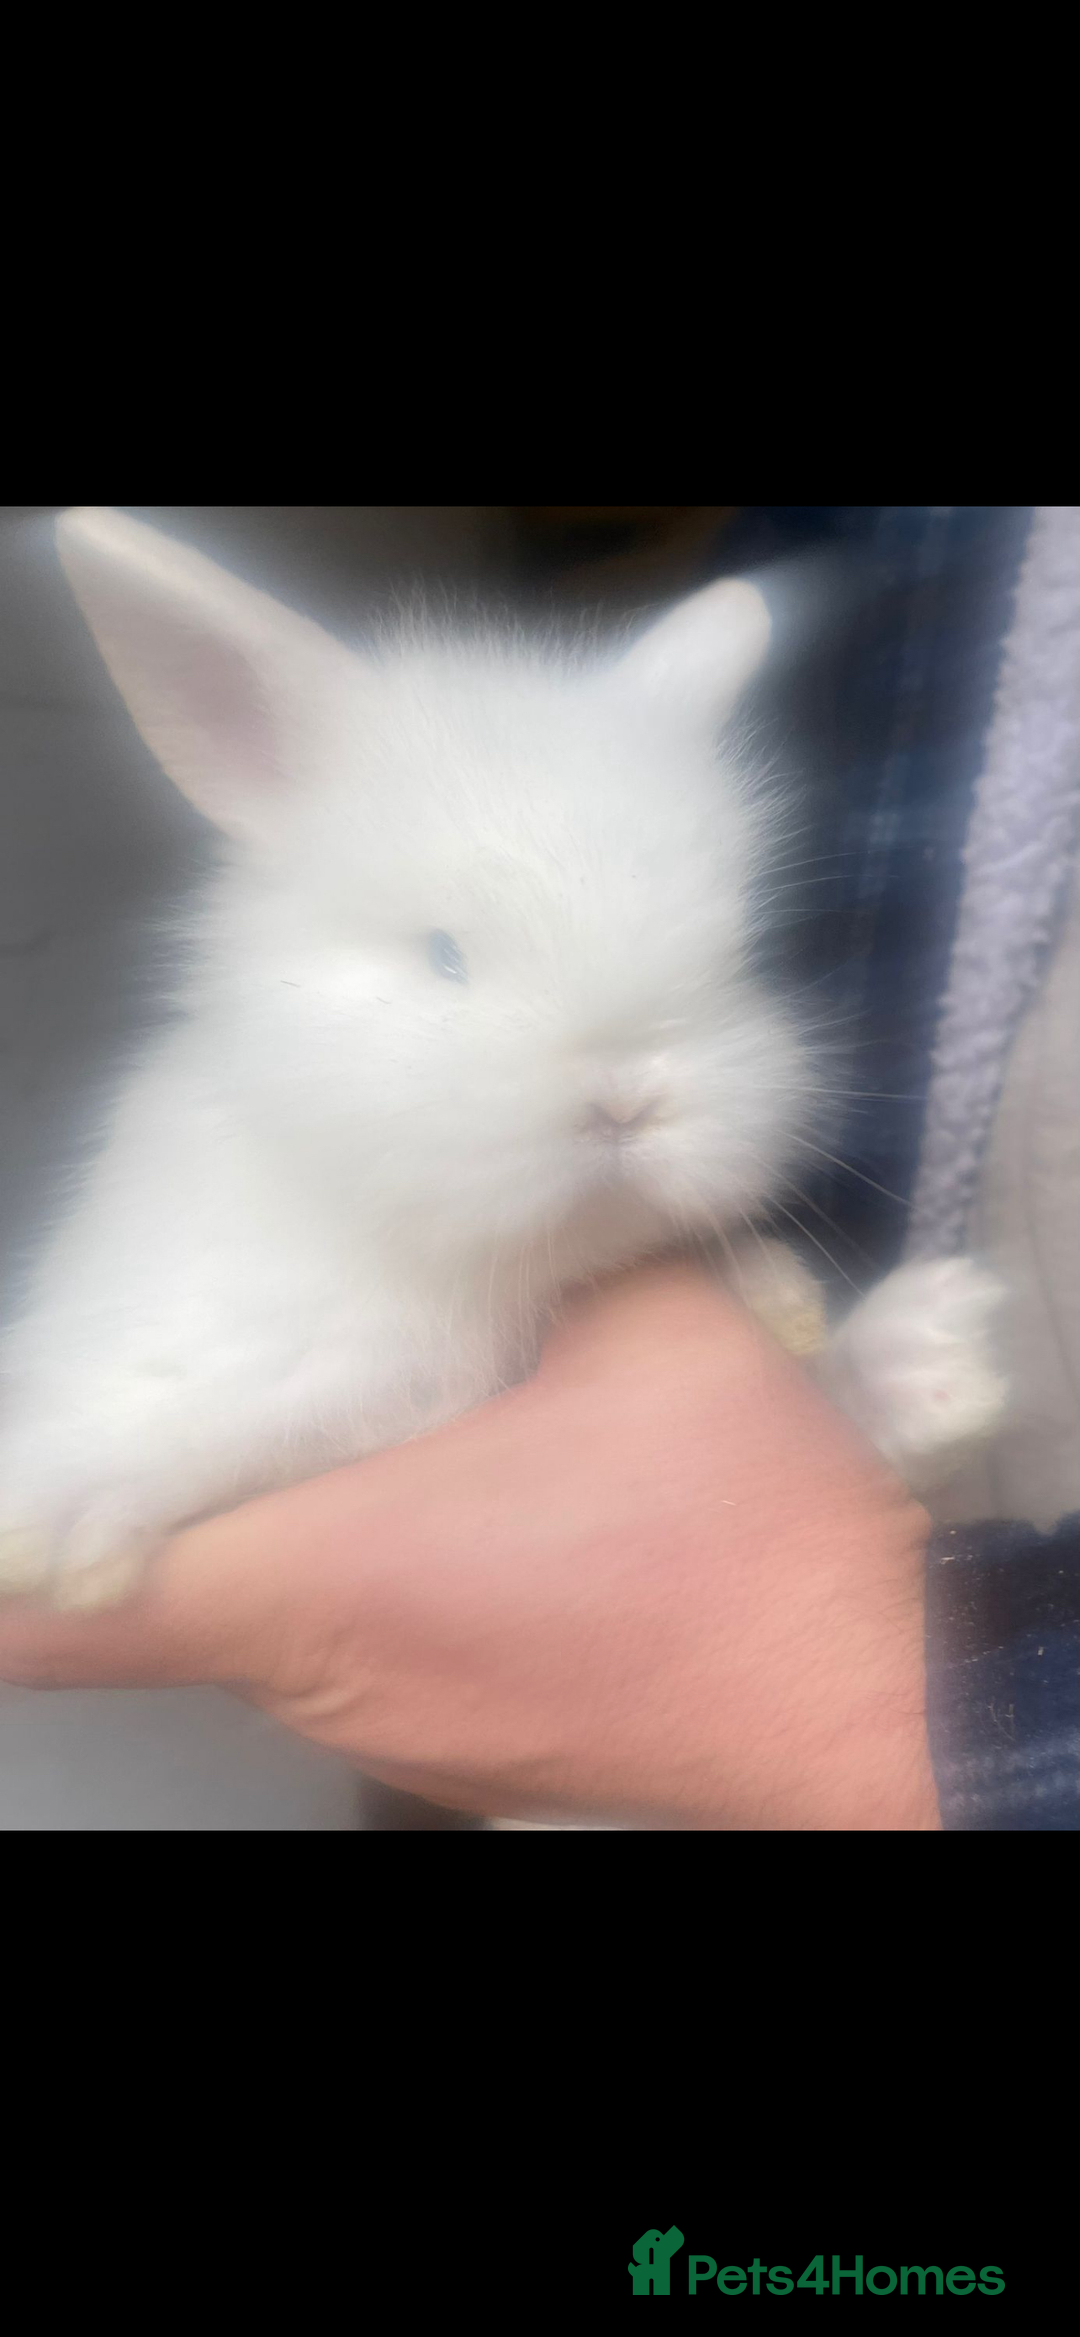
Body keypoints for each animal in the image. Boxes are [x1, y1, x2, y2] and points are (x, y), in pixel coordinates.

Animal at [0, 509, 1005, 1612]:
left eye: (737, 957)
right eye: (444, 953)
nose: (625, 1103)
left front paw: (929, 1362)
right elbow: (206, 1432)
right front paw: (61, 1522)